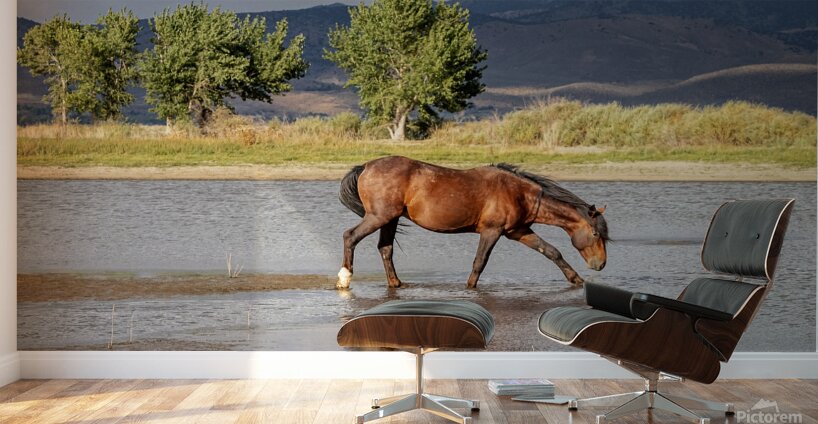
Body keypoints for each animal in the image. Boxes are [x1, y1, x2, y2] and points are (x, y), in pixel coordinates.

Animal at [336, 156, 609, 289]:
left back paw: (396, 284)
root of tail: (366, 166)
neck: (519, 193)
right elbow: (480, 262)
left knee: (385, 249)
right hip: (379, 217)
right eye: (596, 234)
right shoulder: (492, 231)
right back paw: (344, 279)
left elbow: (552, 252)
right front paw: (470, 288)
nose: (601, 264)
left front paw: (576, 280)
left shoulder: (519, 231)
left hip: (390, 219)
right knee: (350, 236)